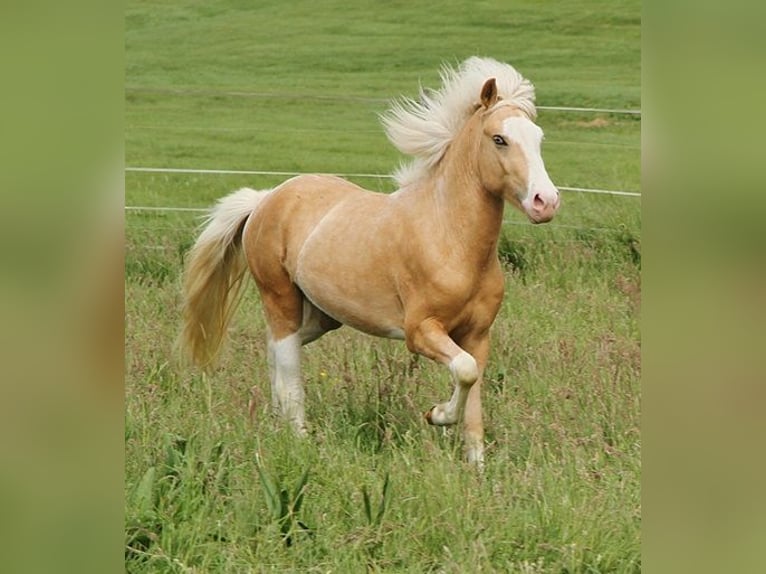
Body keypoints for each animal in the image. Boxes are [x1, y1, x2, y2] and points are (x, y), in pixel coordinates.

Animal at [180, 56, 560, 467]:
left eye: (539, 138)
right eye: (499, 139)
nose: (546, 202)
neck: (450, 239)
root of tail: (266, 198)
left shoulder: (477, 335)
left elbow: (473, 398)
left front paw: (476, 469)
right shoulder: (420, 331)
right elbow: (464, 371)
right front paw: (436, 415)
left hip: (324, 315)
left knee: (278, 349)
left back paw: (277, 419)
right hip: (278, 295)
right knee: (287, 360)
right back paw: (299, 437)